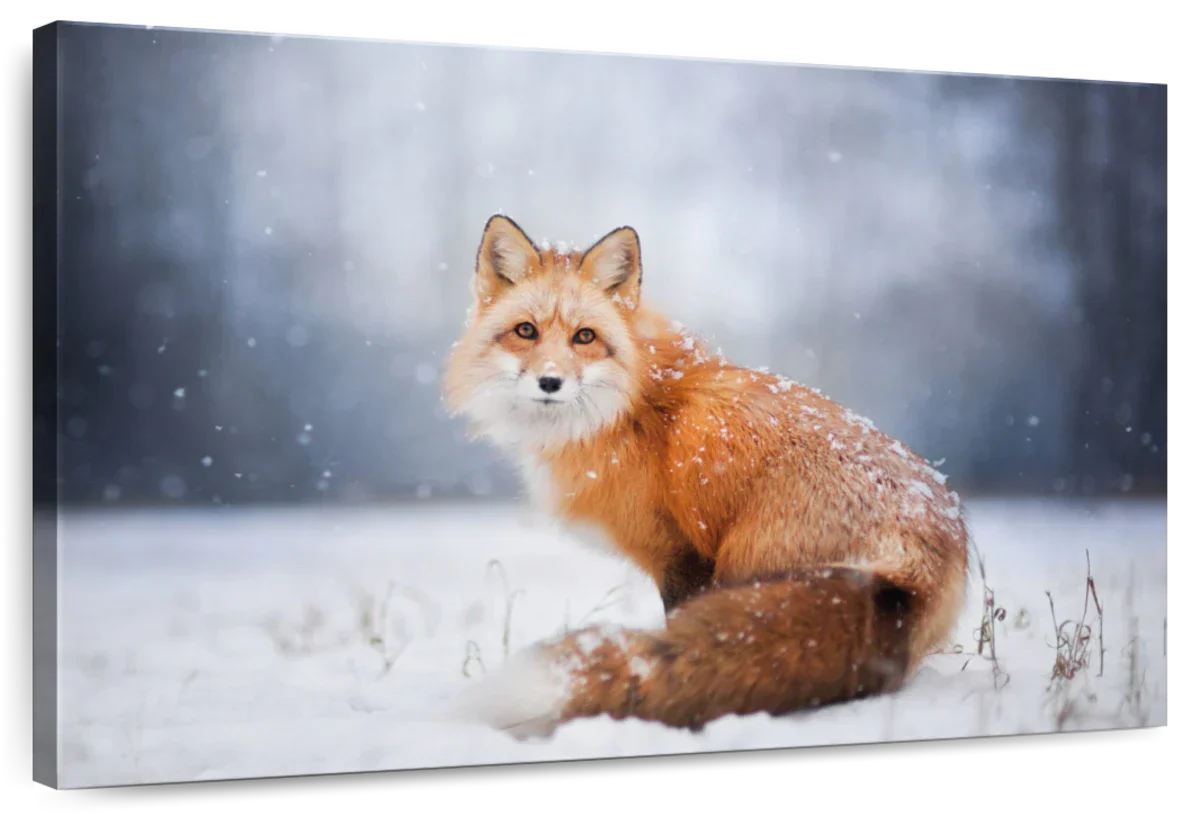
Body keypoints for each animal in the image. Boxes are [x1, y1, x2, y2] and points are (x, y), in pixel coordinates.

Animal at [442, 214, 970, 738]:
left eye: (584, 337)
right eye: (525, 330)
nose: (550, 382)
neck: (631, 407)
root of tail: (915, 563)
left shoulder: (681, 554)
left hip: (743, 565)